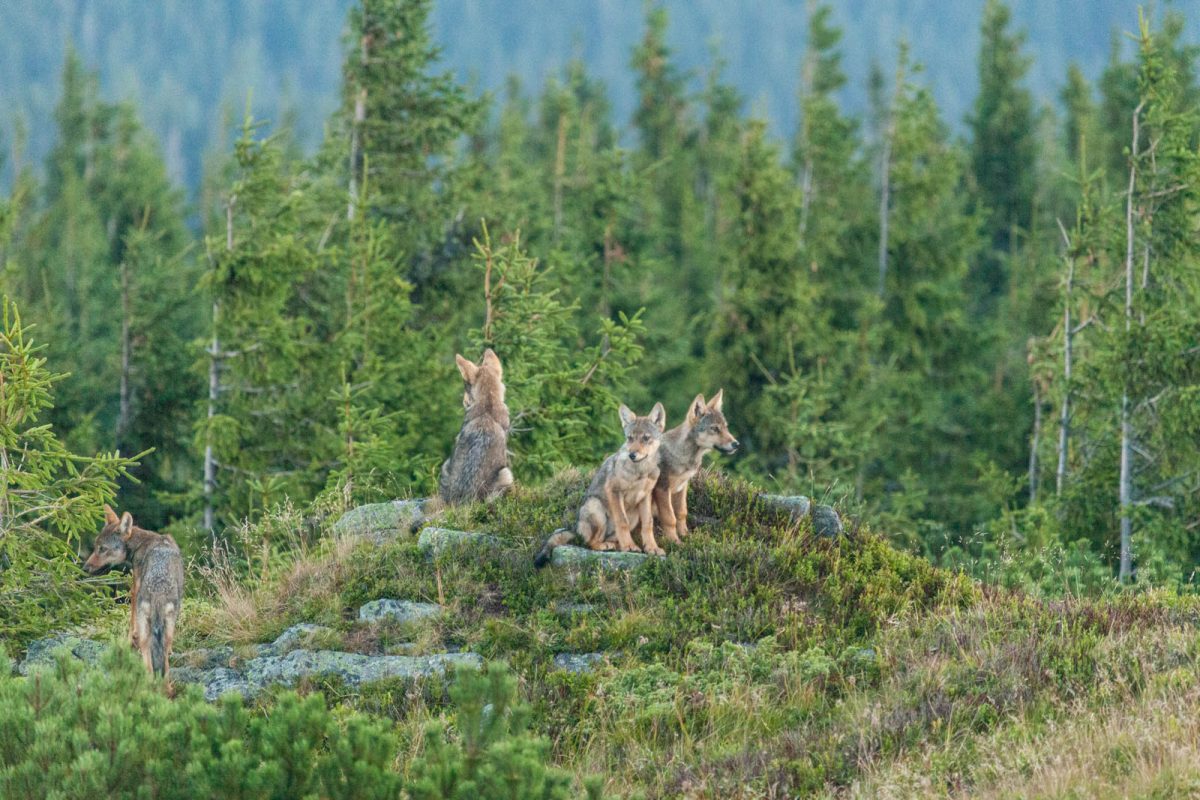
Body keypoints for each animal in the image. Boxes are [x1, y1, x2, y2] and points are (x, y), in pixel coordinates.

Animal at [83, 505, 185, 679]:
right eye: (96, 547)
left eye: (102, 549)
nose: (85, 568)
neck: (141, 543)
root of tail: (158, 591)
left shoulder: (134, 589)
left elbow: (131, 625)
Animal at [534, 402, 667, 566]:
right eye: (630, 438)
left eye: (646, 438)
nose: (632, 454)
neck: (641, 471)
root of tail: (575, 528)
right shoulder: (614, 491)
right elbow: (622, 522)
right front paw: (630, 547)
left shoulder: (645, 496)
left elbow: (648, 524)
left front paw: (652, 548)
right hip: (596, 508)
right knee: (590, 543)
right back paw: (613, 546)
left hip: (634, 516)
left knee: (611, 539)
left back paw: (618, 546)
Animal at [651, 390, 739, 544]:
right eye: (715, 429)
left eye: (725, 427)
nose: (736, 444)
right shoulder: (662, 489)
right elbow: (670, 518)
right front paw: (675, 542)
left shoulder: (682, 486)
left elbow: (681, 513)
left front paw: (686, 537)